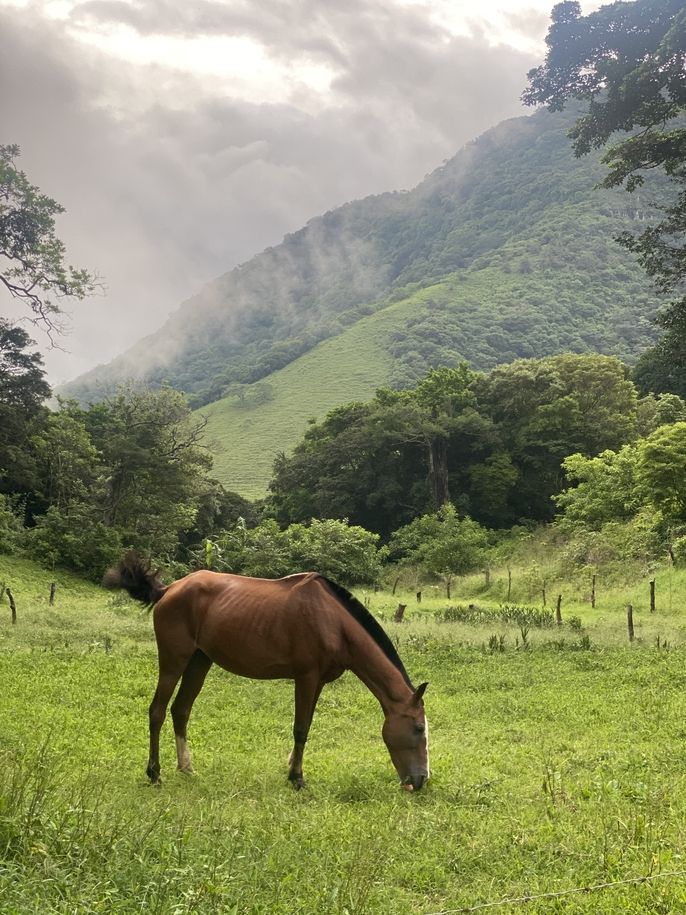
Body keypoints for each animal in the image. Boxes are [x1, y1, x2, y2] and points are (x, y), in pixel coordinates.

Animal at [103, 556, 430, 792]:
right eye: (418, 728)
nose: (422, 780)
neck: (334, 622)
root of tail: (168, 590)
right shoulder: (306, 677)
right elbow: (301, 728)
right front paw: (297, 778)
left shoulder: (318, 682)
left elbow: (307, 726)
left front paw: (292, 770)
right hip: (174, 660)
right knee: (157, 711)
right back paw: (154, 773)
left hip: (199, 662)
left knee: (180, 710)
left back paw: (186, 768)